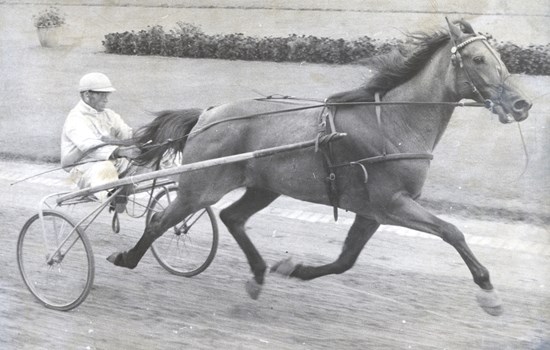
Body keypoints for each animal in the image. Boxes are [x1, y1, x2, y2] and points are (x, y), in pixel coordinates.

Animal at [108, 17, 536, 316]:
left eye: (501, 59)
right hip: (200, 186)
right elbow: (452, 232)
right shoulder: (393, 203)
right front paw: (489, 292)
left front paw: (294, 269)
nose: (521, 104)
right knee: (161, 221)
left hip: (264, 186)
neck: (394, 122)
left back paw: (259, 275)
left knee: (232, 217)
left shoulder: (372, 210)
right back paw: (126, 258)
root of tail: (208, 114)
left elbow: (345, 261)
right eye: (479, 59)